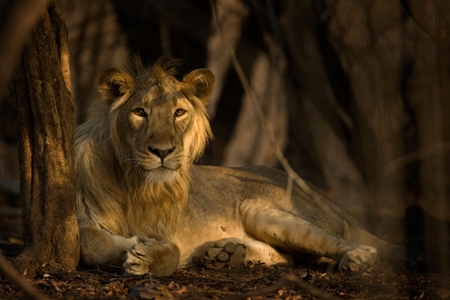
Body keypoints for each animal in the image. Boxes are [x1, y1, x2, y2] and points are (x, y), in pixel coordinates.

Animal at [76, 56, 418, 276]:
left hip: (264, 211)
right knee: (287, 258)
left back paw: (358, 257)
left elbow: (169, 252)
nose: (163, 151)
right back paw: (224, 255)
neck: (132, 181)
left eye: (179, 113)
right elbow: (91, 243)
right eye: (140, 112)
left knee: (339, 245)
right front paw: (134, 248)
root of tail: (320, 195)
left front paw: (145, 255)